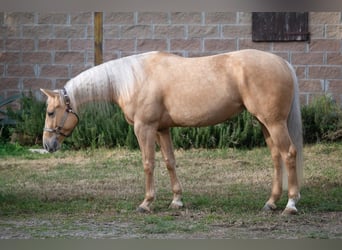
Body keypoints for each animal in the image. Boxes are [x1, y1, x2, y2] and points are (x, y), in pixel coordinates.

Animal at [40, 49, 302, 215]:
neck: (133, 80)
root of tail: (283, 63)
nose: (47, 144)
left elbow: (148, 163)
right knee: (276, 157)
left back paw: (290, 204)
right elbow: (169, 162)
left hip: (274, 122)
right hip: (264, 123)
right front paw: (177, 200)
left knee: (288, 154)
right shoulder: (162, 129)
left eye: (51, 112)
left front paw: (146, 203)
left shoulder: (144, 128)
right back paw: (271, 202)